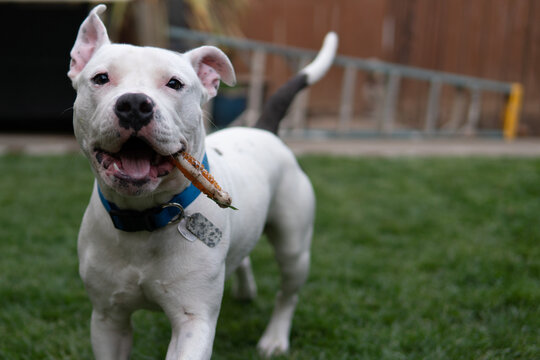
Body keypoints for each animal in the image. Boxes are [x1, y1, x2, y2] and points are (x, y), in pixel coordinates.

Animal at [68, 4, 338, 358]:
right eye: (101, 78)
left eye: (174, 83)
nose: (134, 104)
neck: (145, 216)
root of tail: (263, 130)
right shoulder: (107, 319)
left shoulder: (193, 321)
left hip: (294, 248)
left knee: (287, 293)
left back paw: (275, 337)